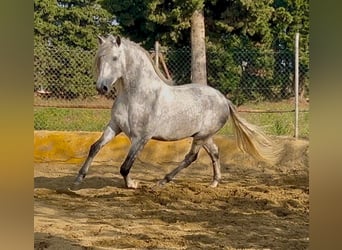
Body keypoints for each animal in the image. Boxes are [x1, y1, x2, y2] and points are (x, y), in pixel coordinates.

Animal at [74, 34, 280, 188]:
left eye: (115, 58)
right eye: (100, 58)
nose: (102, 87)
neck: (136, 95)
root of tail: (224, 99)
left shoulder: (141, 137)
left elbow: (125, 166)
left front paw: (132, 184)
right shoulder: (114, 126)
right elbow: (95, 147)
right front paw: (79, 177)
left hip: (201, 136)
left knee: (191, 157)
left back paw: (162, 181)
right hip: (203, 135)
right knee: (214, 152)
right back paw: (214, 182)